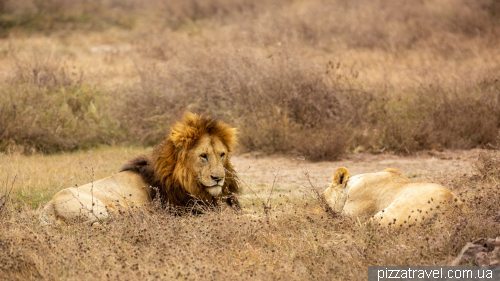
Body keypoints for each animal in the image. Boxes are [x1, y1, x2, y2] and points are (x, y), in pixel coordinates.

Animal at [41, 111, 240, 223]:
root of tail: (48, 209)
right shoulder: (189, 210)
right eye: (203, 156)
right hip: (102, 209)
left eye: (222, 155)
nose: (218, 178)